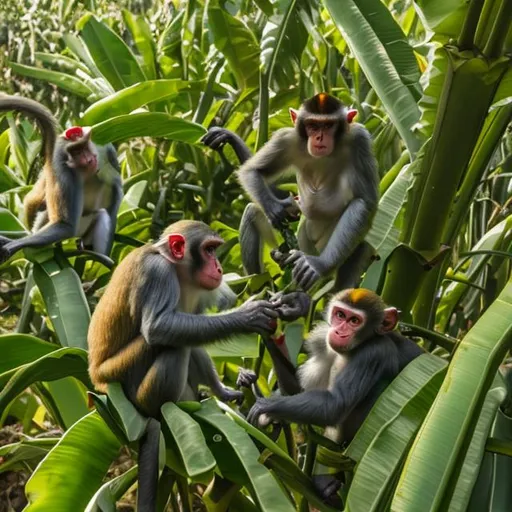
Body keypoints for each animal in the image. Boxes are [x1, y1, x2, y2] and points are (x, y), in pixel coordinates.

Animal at [0, 95, 122, 264]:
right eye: (76, 152)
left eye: (84, 147)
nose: (89, 159)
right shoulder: (62, 168)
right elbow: (64, 224)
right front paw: (14, 244)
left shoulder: (105, 150)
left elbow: (115, 199)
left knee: (102, 215)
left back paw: (96, 255)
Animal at [87, 220, 280, 512]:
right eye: (209, 250)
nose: (219, 268)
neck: (176, 269)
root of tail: (99, 381)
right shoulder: (157, 273)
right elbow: (159, 327)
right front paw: (248, 315)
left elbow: (193, 329)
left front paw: (225, 388)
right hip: (126, 379)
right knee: (171, 346)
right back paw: (165, 408)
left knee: (187, 340)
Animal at [202, 92, 378, 292]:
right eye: (312, 125)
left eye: (328, 125)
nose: (319, 137)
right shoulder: (286, 138)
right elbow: (254, 172)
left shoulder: (359, 140)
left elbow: (364, 201)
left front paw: (317, 266)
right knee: (252, 212)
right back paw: (259, 285)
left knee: (360, 243)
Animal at [246, 288, 422, 504]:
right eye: (340, 315)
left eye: (354, 320)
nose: (339, 332)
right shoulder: (323, 339)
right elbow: (298, 391)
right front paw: (273, 321)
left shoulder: (375, 352)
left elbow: (335, 406)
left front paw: (264, 406)